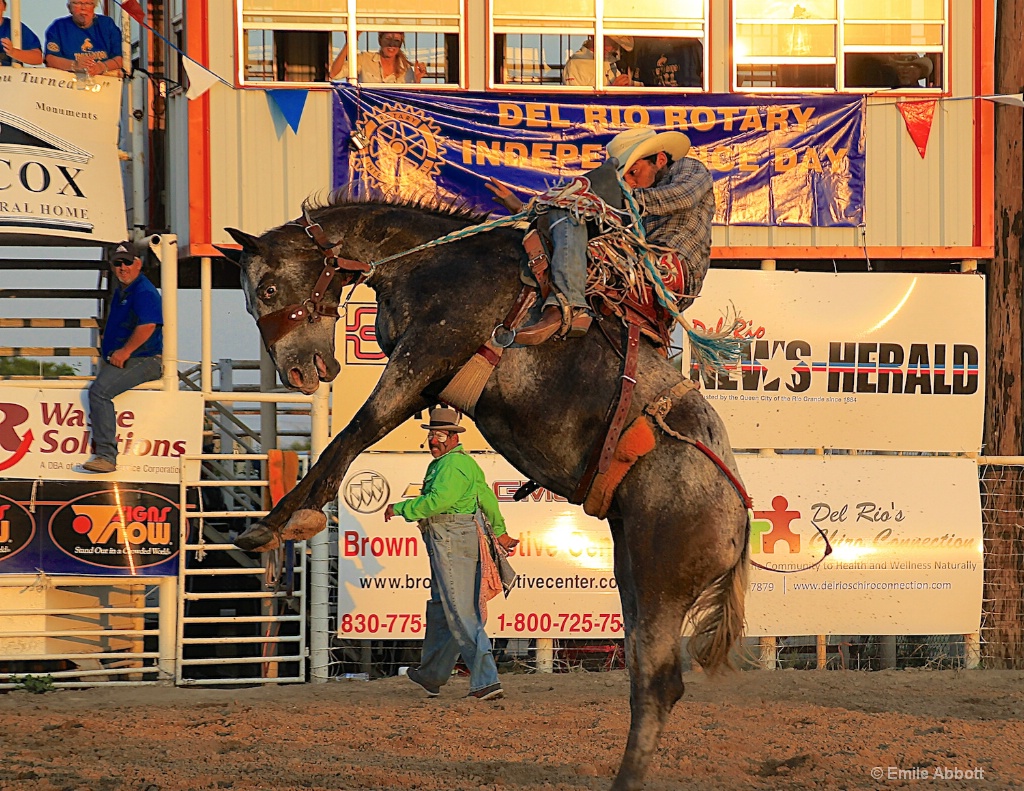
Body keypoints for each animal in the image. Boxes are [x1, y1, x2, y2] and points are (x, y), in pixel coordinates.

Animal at [222, 194, 753, 790]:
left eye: (268, 290)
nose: (296, 373)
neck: (435, 262)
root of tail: (740, 514)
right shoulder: (428, 382)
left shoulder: (424, 357)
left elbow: (354, 432)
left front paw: (276, 524)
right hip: (634, 575)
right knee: (648, 678)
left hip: (662, 580)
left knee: (659, 682)